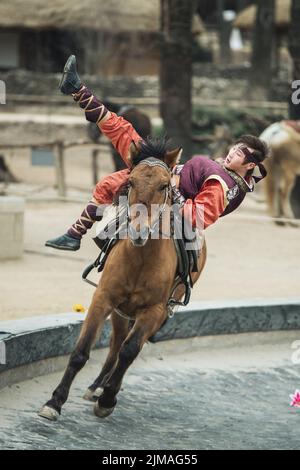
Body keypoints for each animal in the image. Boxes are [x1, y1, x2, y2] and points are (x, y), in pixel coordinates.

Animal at [38, 140, 207, 422]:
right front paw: (55, 401)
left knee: (126, 349)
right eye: (131, 182)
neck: (141, 257)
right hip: (120, 311)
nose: (139, 231)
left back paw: (107, 389)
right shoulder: (103, 298)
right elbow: (81, 351)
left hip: (156, 312)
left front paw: (108, 399)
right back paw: (97, 386)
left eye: (164, 185)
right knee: (116, 345)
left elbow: (130, 352)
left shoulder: (153, 311)